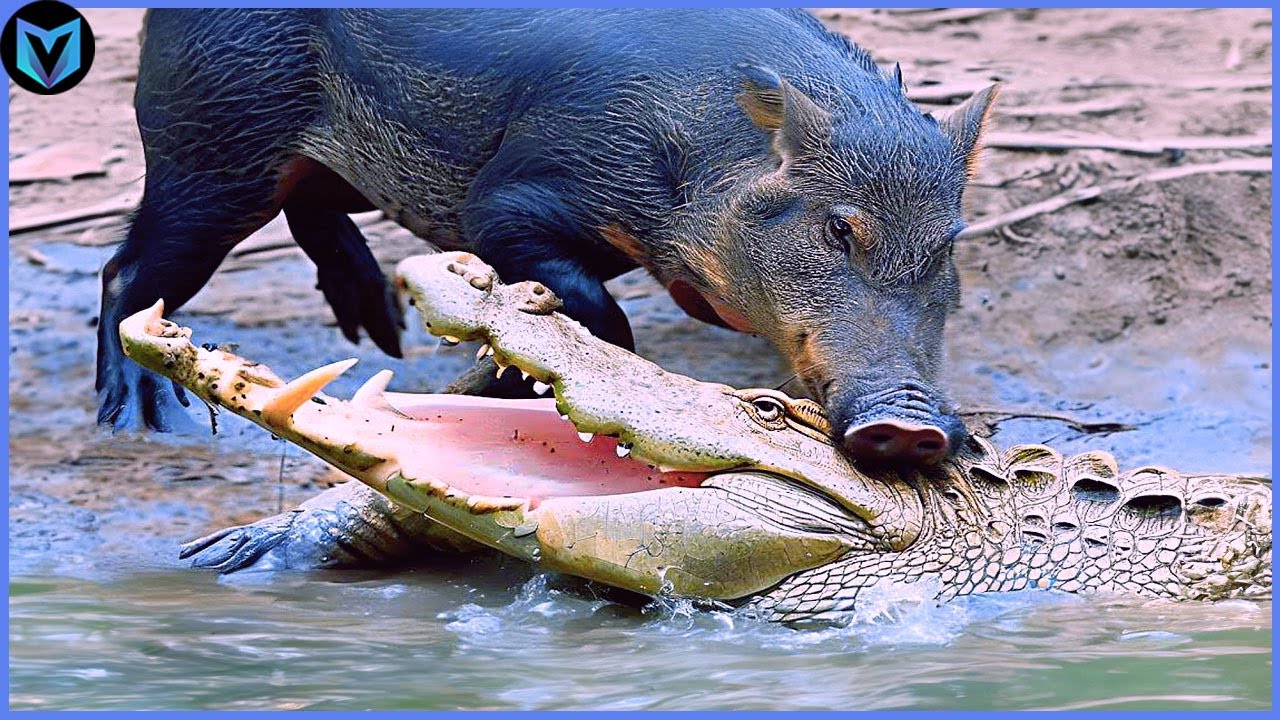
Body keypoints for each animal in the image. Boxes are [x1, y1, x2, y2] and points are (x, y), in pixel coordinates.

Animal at [98, 8, 997, 464]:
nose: (910, 425)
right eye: (838, 229)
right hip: (211, 145)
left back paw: (377, 333)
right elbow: (600, 318)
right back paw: (146, 423)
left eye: (947, 244)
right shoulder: (512, 199)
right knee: (127, 272)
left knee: (309, 209)